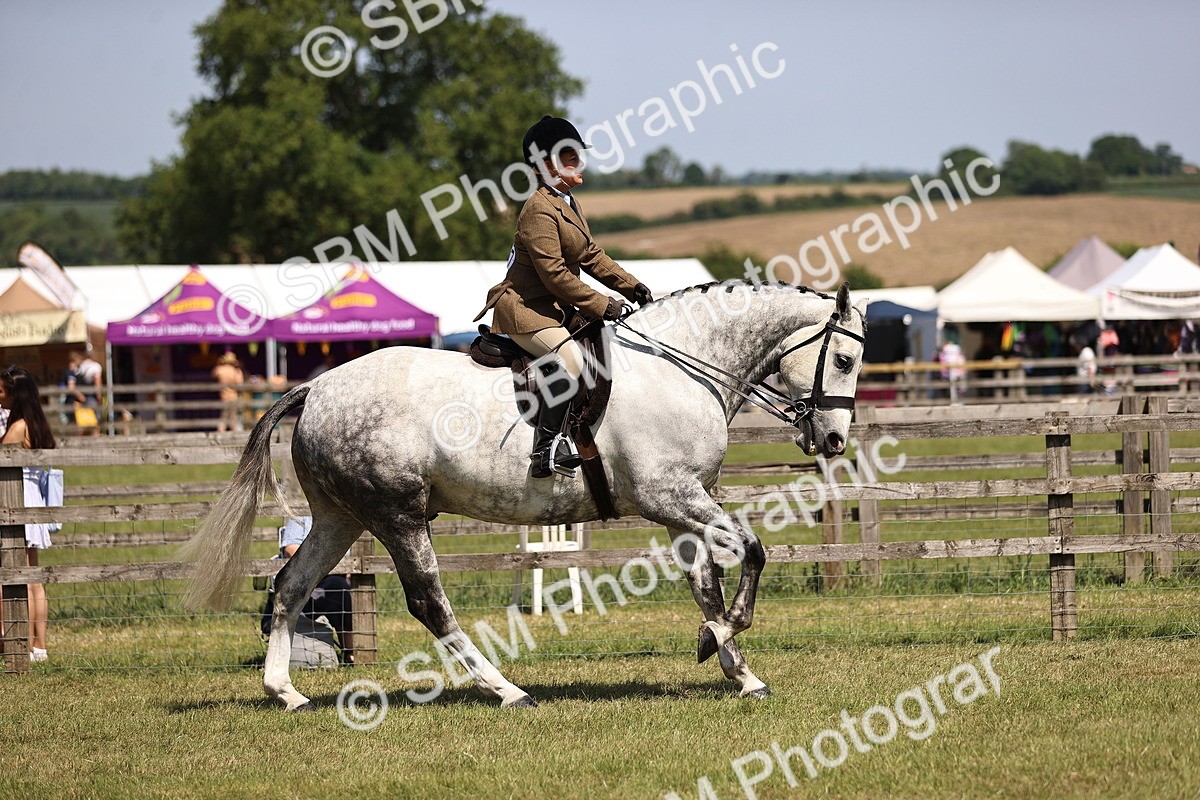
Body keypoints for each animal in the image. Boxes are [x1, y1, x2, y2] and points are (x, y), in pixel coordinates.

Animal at [182, 279, 867, 710]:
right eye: (845, 362)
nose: (833, 439)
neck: (682, 366)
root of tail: (317, 388)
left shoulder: (685, 502)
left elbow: (707, 583)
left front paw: (735, 665)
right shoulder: (669, 494)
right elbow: (752, 551)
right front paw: (724, 637)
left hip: (339, 518)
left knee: (290, 586)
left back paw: (287, 693)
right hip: (398, 515)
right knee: (429, 604)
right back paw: (506, 690)